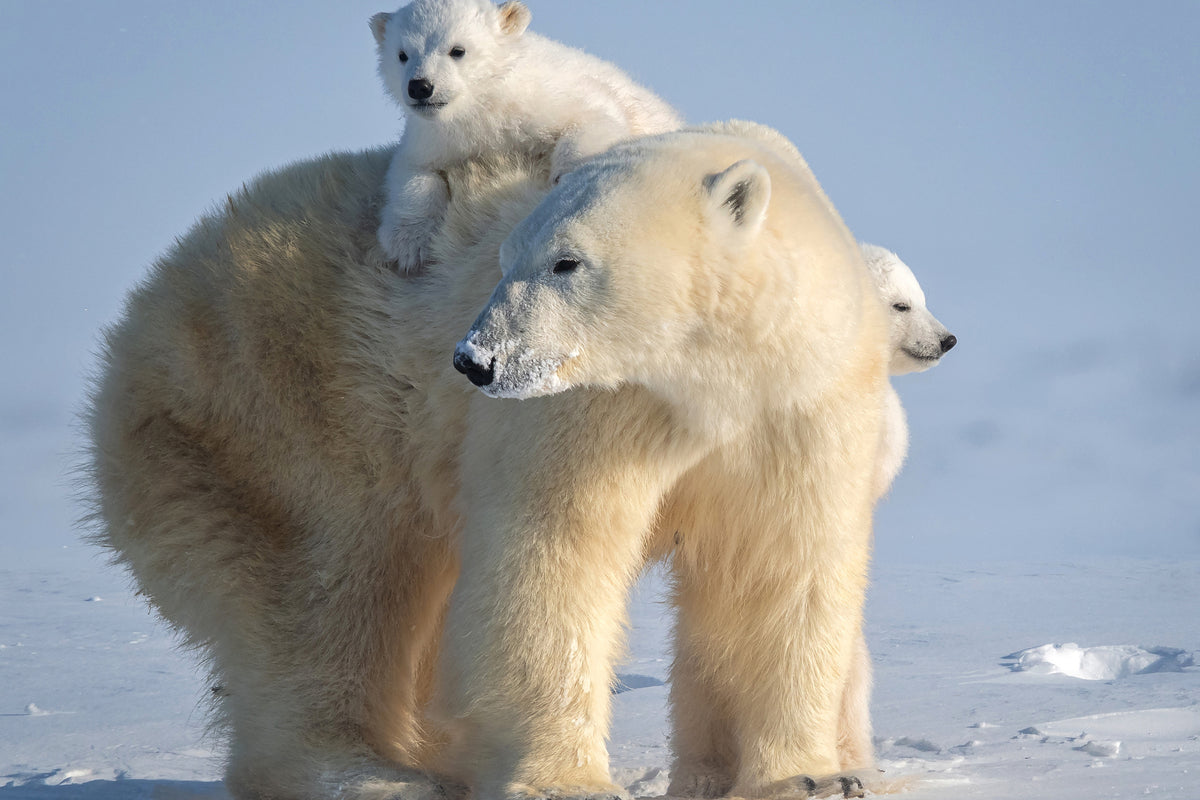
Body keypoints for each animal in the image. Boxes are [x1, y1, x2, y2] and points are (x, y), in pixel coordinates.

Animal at [85, 121, 887, 800]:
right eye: (505, 258)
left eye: (567, 261)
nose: (475, 361)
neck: (709, 382)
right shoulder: (589, 409)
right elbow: (551, 554)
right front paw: (567, 782)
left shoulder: (795, 409)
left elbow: (781, 570)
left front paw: (808, 778)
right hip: (278, 404)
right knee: (327, 587)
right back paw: (375, 773)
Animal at [371, 0, 681, 273]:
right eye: (402, 54)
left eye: (457, 50)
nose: (420, 87)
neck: (483, 107)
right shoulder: (436, 136)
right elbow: (412, 170)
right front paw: (408, 244)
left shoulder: (543, 96)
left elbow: (595, 114)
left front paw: (567, 180)